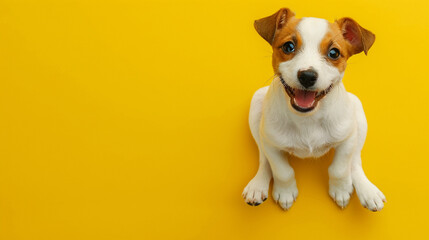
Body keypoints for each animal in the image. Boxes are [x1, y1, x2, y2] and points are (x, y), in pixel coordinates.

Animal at [242, 7, 386, 211]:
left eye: (334, 53)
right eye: (288, 47)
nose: (308, 76)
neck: (307, 118)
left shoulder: (348, 138)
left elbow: (340, 168)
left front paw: (341, 189)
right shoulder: (271, 144)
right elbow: (282, 171)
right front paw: (285, 192)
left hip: (357, 111)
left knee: (356, 161)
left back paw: (367, 191)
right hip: (257, 107)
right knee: (263, 158)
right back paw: (257, 185)